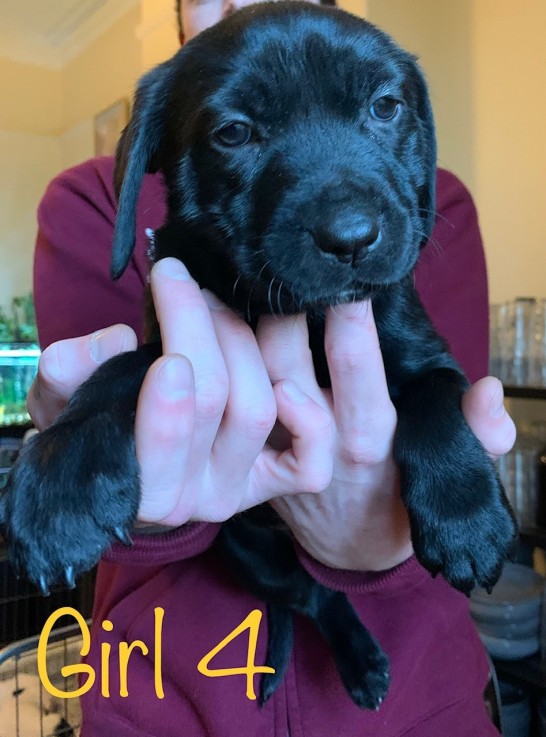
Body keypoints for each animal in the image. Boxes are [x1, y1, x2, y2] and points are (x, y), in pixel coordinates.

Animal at [0, 1, 516, 708]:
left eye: (386, 107)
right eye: (234, 133)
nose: (352, 237)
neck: (304, 315)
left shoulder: (425, 354)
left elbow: (439, 406)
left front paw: (465, 515)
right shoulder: (179, 336)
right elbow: (122, 370)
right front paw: (63, 484)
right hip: (243, 548)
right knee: (312, 595)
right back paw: (356, 659)